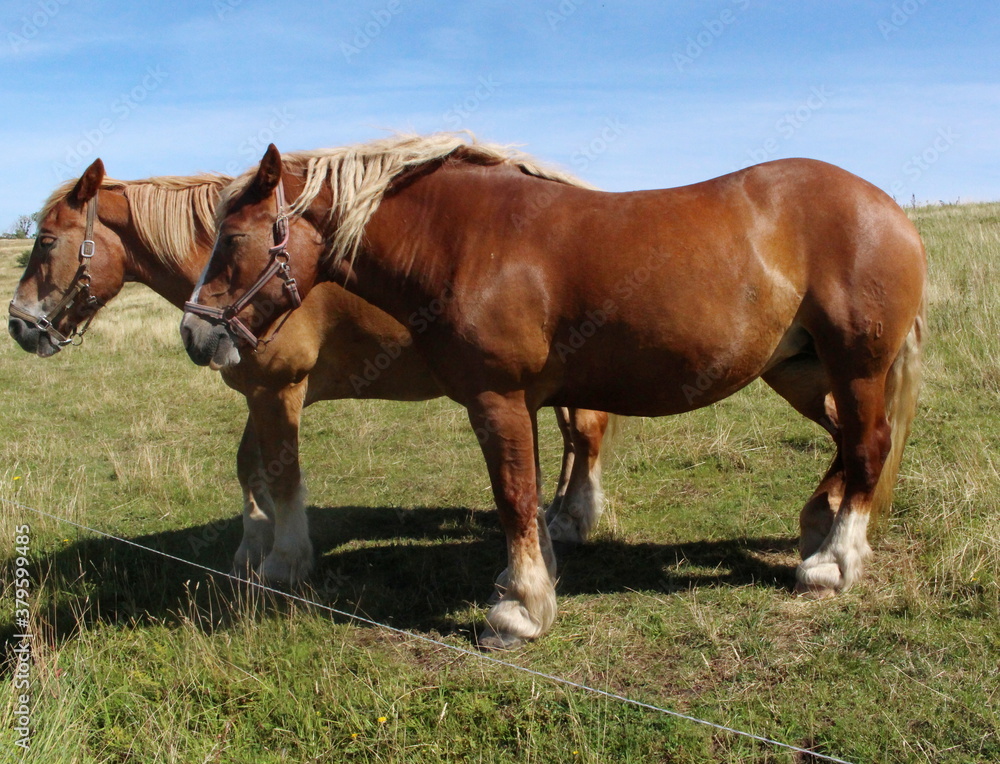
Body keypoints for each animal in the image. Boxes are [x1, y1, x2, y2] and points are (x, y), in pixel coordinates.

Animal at [8, 157, 612, 587]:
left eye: (47, 240)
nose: (18, 324)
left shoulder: (279, 390)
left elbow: (281, 473)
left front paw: (284, 559)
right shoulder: (255, 391)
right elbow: (248, 467)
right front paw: (252, 547)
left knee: (584, 435)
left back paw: (571, 520)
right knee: (570, 441)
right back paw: (558, 515)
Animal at [180, 133, 926, 649]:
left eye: (234, 238)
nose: (195, 334)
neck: (466, 242)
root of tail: (889, 209)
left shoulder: (498, 399)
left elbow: (513, 499)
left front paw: (518, 611)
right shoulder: (526, 404)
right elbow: (533, 493)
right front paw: (535, 582)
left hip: (855, 367)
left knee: (868, 448)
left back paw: (832, 563)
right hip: (801, 370)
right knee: (851, 442)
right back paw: (817, 526)